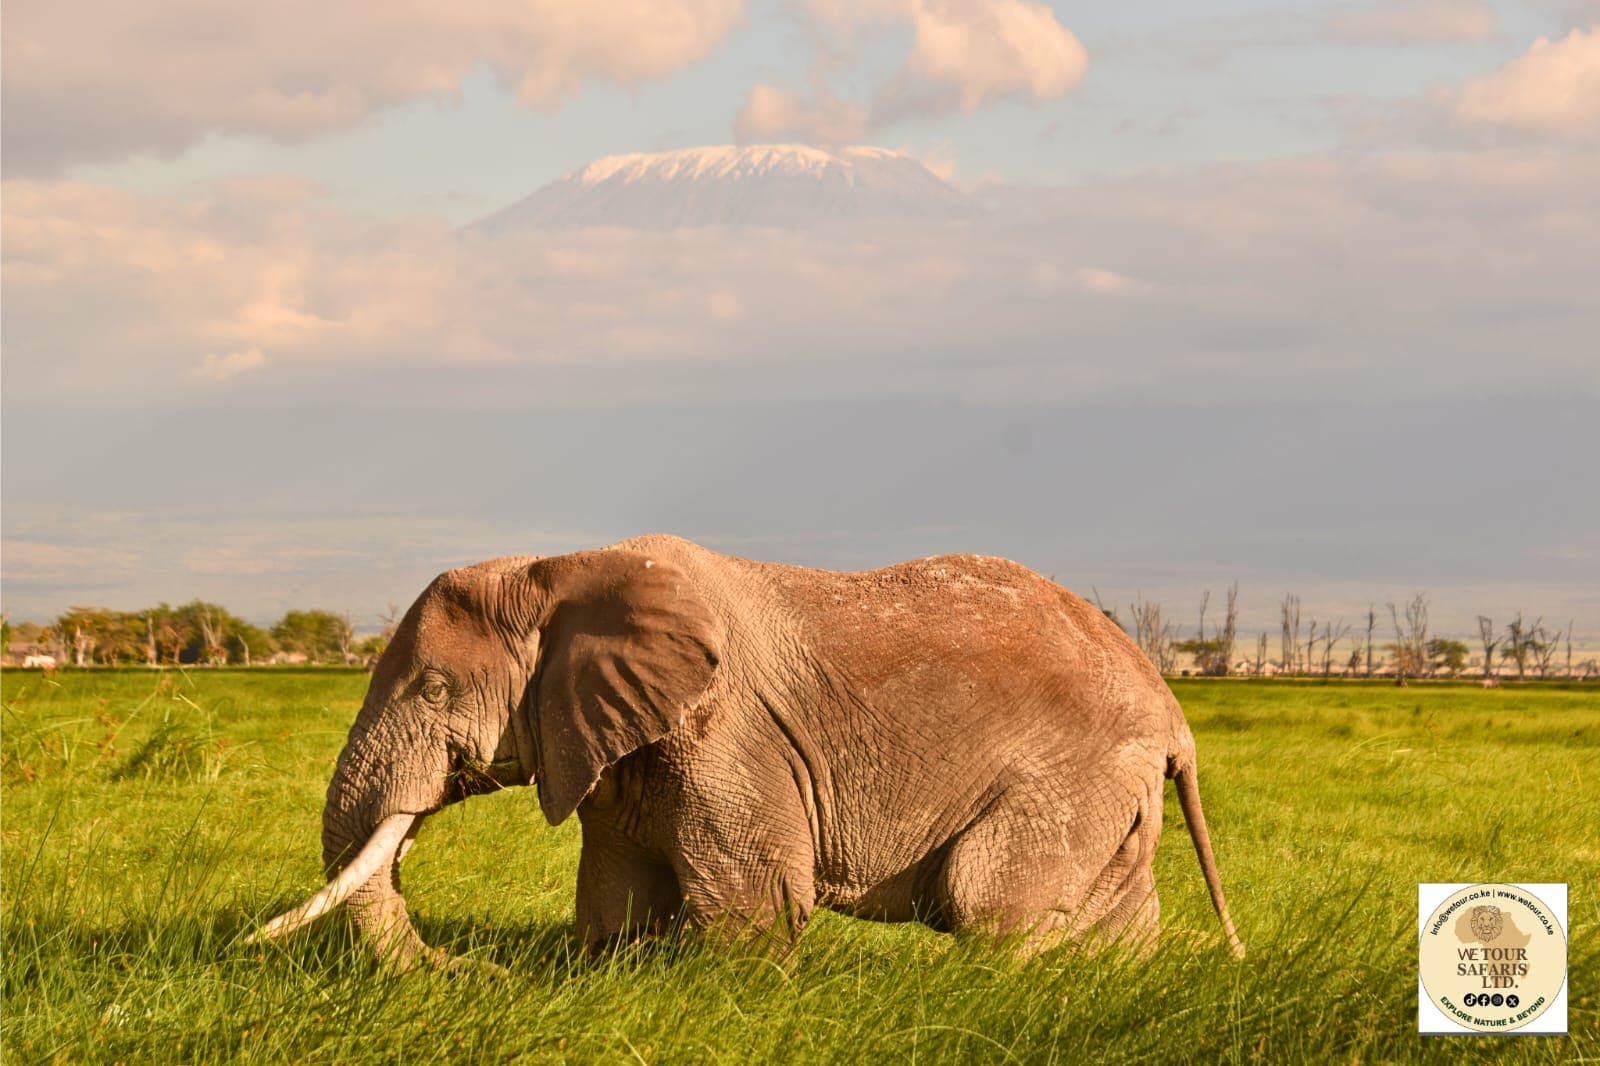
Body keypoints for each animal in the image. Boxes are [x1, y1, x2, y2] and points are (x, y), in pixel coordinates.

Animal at [251, 534, 1243, 969]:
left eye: (430, 690)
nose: (477, 971)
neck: (557, 567)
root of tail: (1172, 711)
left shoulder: (728, 731)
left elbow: (750, 905)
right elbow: (615, 898)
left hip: (1070, 777)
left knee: (986, 900)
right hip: (1114, 792)